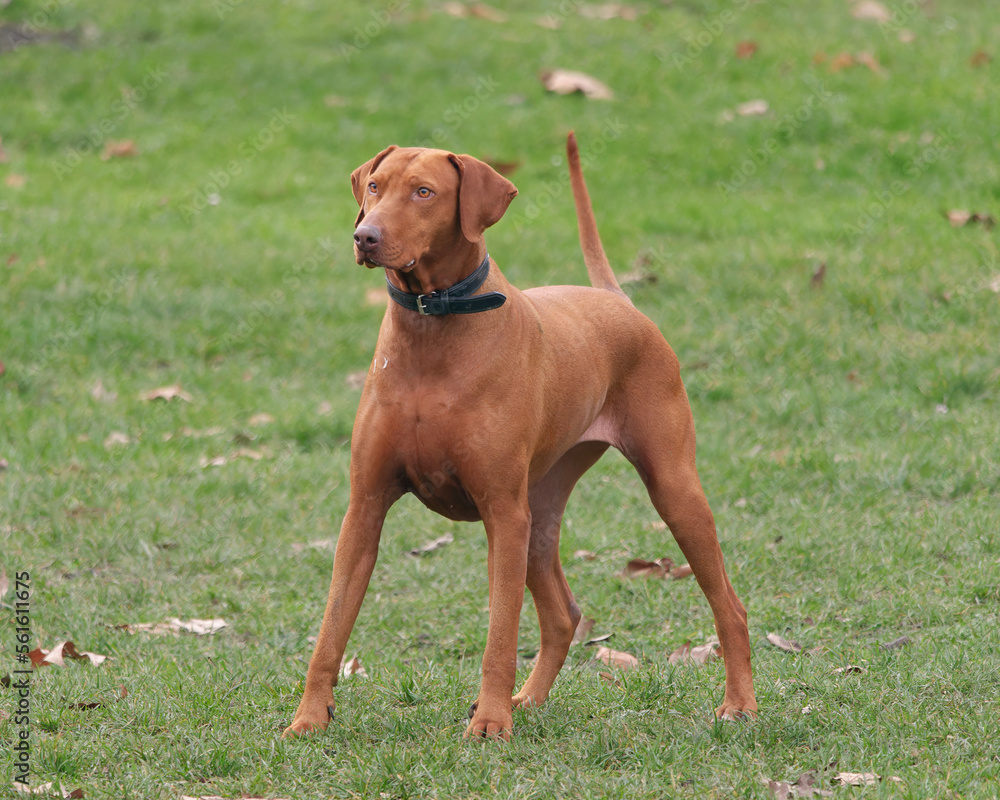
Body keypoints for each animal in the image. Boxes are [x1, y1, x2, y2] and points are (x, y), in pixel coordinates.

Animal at [284, 134, 756, 740]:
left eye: (424, 192)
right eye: (374, 186)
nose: (365, 236)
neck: (432, 325)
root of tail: (617, 299)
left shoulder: (502, 516)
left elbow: (500, 636)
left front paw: (489, 722)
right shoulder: (363, 509)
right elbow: (331, 629)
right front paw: (309, 718)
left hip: (671, 492)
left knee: (729, 607)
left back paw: (739, 704)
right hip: (540, 514)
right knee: (564, 615)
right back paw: (528, 699)